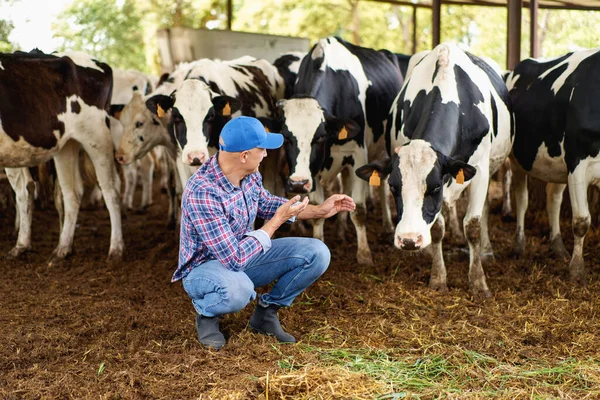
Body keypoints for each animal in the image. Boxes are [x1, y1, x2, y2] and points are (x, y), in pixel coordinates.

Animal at [258, 37, 404, 266]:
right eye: (286, 137)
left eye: (319, 137)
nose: (297, 184)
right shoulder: (313, 170)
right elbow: (318, 208)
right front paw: (320, 240)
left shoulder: (358, 154)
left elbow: (359, 209)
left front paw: (364, 254)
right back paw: (341, 230)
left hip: (382, 149)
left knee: (381, 185)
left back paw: (387, 225)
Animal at [354, 43, 512, 296]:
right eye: (393, 186)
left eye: (435, 186)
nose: (409, 240)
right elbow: (437, 228)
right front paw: (438, 277)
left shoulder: (479, 169)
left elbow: (473, 225)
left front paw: (478, 282)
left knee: (484, 210)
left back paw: (486, 251)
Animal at [504, 47, 600, 284]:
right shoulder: (577, 162)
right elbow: (582, 221)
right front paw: (577, 271)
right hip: (517, 160)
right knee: (522, 199)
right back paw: (519, 245)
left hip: (558, 166)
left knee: (553, 199)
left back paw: (557, 246)